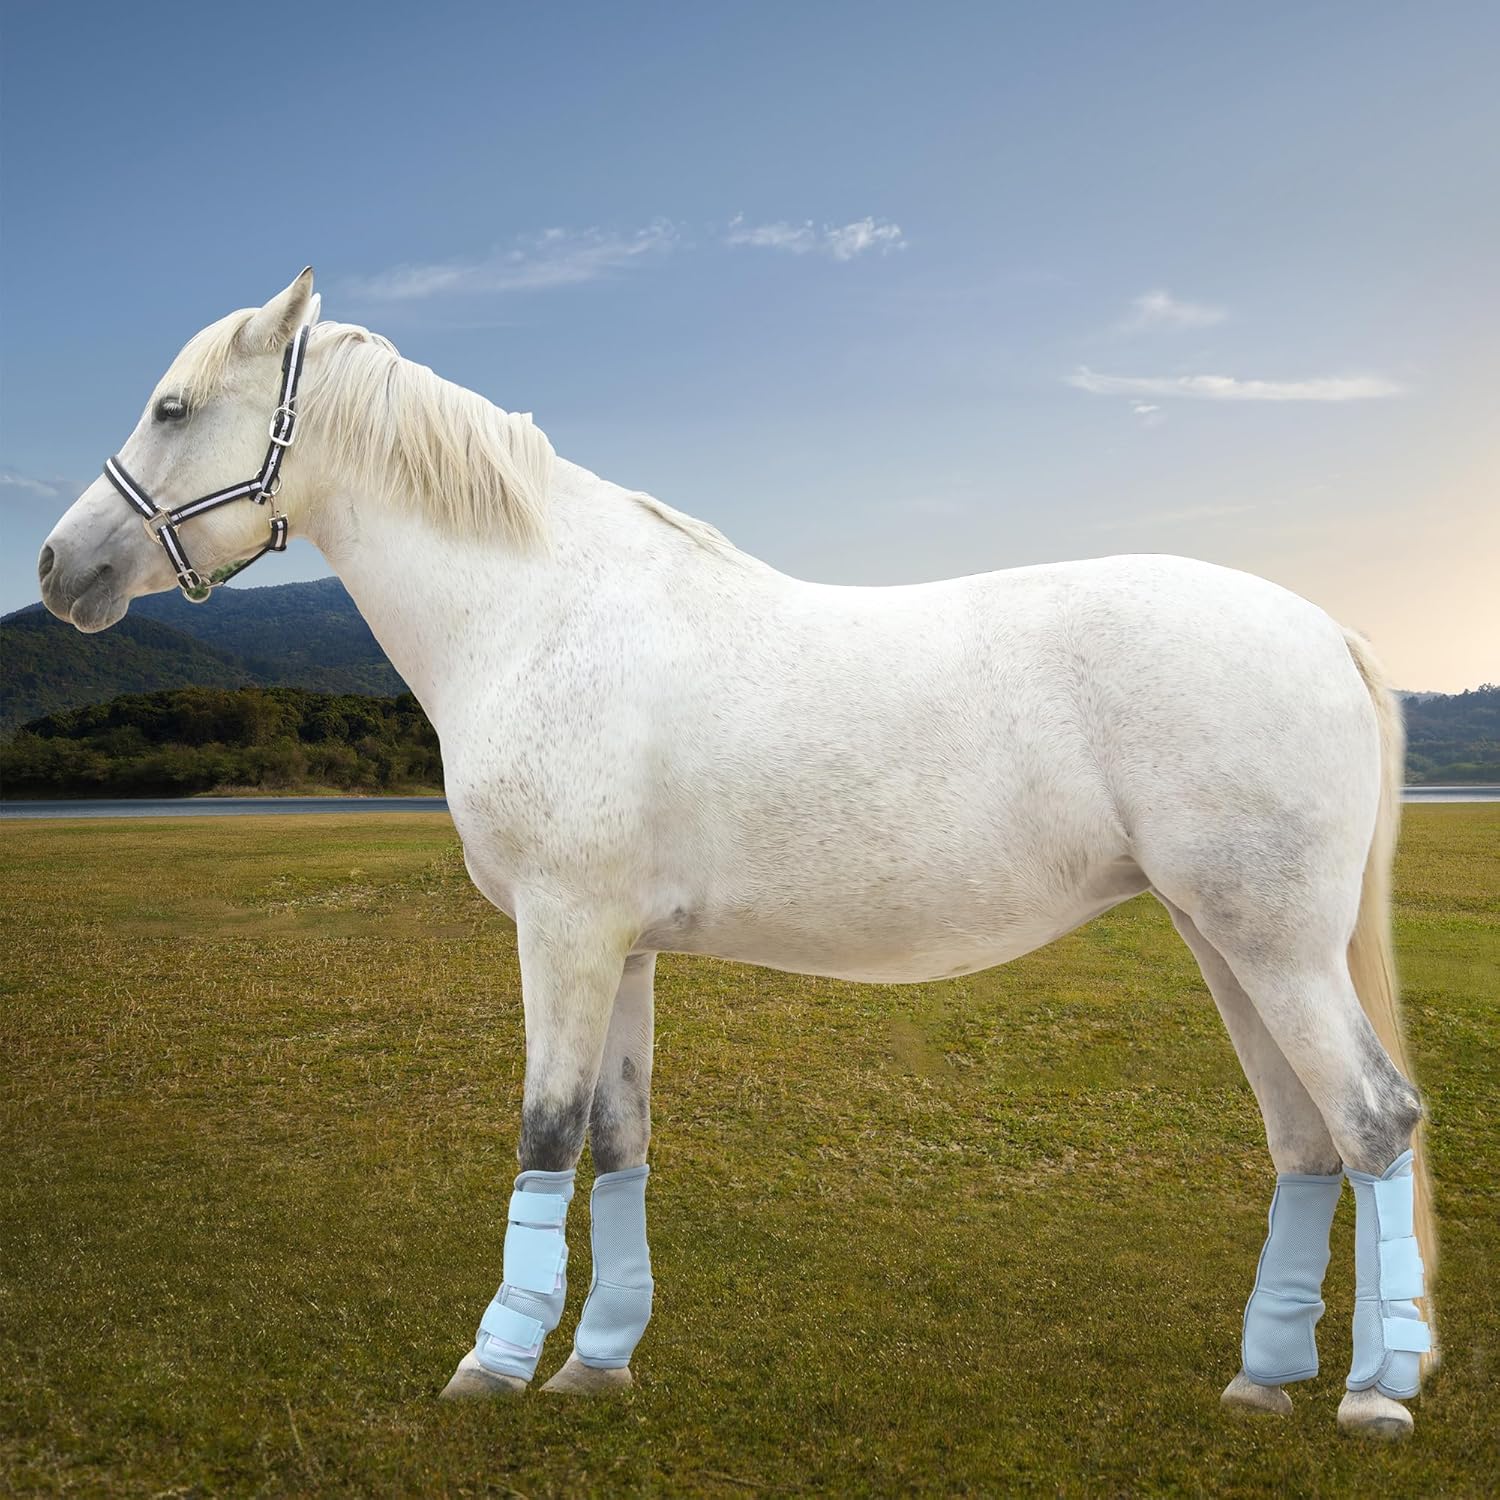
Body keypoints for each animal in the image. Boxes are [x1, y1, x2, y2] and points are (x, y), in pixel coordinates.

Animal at [38, 270, 1436, 1438]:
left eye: (172, 407)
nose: (58, 567)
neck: (537, 615)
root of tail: (1323, 628)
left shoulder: (562, 931)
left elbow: (546, 1133)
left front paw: (495, 1363)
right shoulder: (622, 949)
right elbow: (618, 1141)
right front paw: (596, 1364)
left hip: (1272, 944)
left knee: (1374, 1120)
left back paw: (1373, 1397)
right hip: (1225, 940)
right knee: (1308, 1138)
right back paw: (1264, 1382)